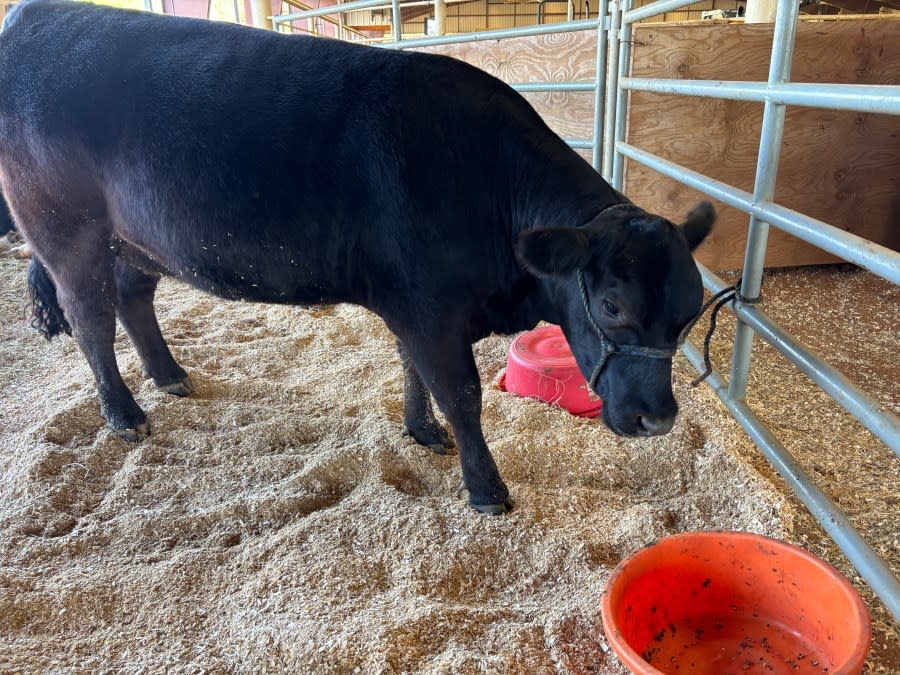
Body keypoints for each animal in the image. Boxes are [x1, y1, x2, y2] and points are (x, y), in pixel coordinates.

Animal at [1, 0, 716, 516]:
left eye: (690, 313)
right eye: (612, 305)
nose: (658, 419)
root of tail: (33, 15)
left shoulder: (415, 307)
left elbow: (413, 372)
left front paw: (420, 433)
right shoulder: (430, 309)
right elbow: (461, 394)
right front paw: (486, 490)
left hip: (136, 238)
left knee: (132, 297)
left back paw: (170, 375)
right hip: (66, 231)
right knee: (90, 318)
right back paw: (126, 416)